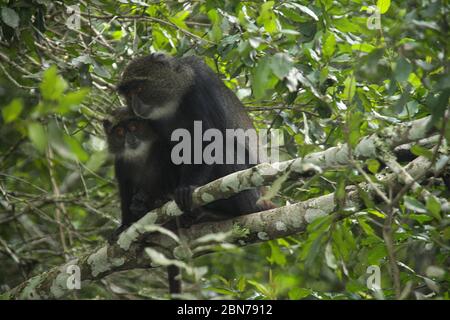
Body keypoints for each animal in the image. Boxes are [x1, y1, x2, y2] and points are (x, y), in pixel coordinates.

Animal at [118, 52, 272, 225]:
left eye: (139, 88)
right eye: (129, 95)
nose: (135, 105)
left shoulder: (200, 86)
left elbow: (206, 142)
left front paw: (187, 187)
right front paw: (145, 201)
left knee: (223, 149)